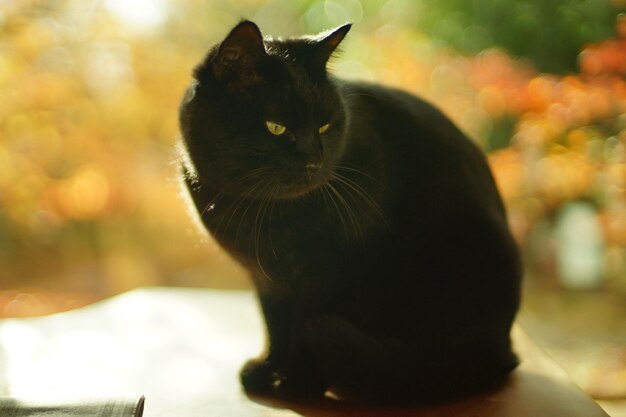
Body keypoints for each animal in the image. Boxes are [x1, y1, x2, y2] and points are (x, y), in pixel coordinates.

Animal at [178, 21, 520, 402]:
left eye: (325, 127)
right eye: (276, 127)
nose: (314, 162)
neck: (263, 212)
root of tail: (503, 346)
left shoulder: (334, 271)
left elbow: (303, 326)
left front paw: (298, 382)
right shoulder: (266, 277)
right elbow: (275, 324)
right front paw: (267, 369)